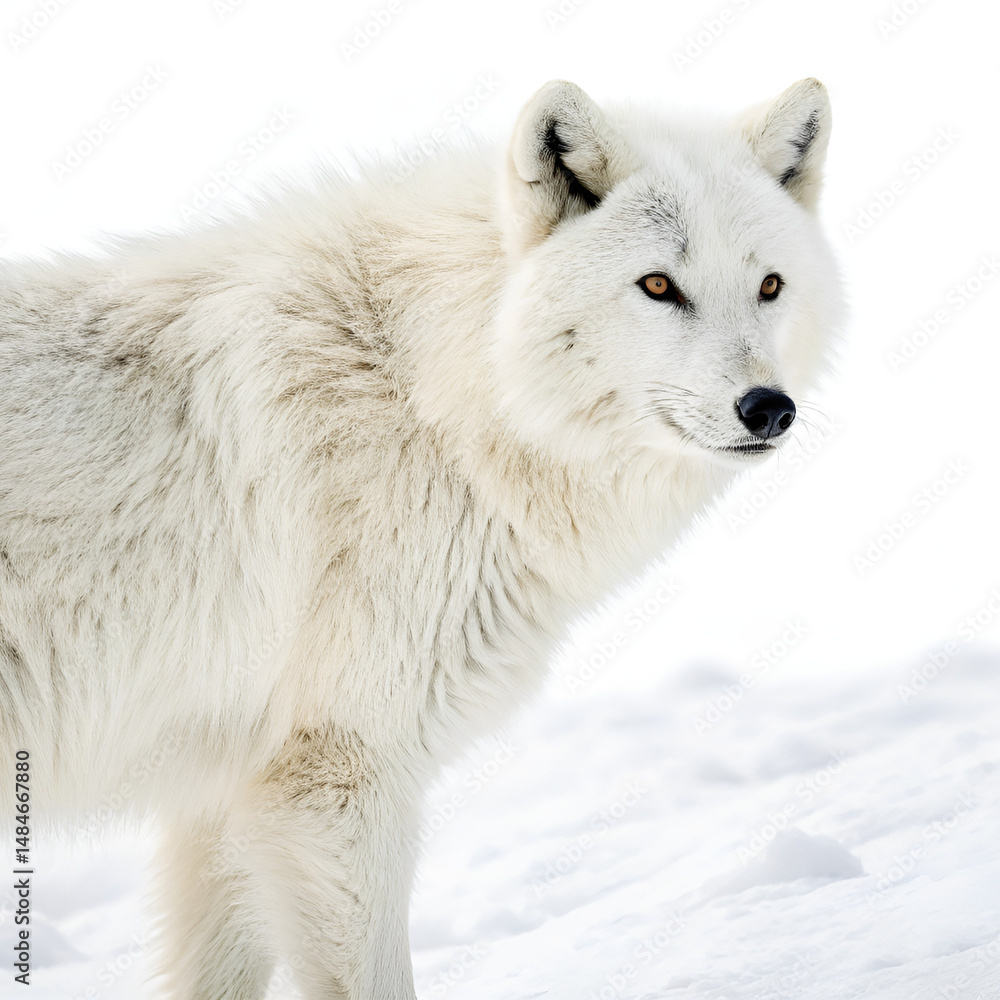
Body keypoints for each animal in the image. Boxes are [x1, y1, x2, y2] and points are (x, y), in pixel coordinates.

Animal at [0, 78, 842, 998]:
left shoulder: (224, 796)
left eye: (769, 286)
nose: (768, 408)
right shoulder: (338, 781)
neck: (427, 390)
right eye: (658, 284)